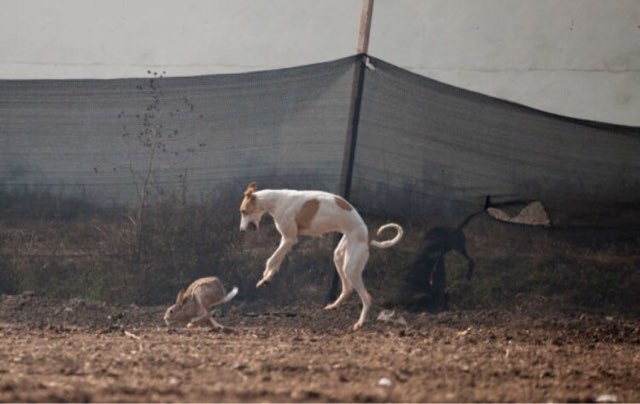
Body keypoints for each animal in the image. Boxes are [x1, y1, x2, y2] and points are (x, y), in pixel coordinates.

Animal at [238, 181, 402, 330]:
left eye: (243, 211)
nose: (241, 231)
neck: (277, 200)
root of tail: (367, 236)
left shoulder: (289, 239)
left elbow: (271, 260)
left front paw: (264, 278)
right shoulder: (286, 241)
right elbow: (276, 262)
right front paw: (267, 278)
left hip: (351, 267)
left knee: (367, 298)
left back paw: (360, 323)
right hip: (340, 256)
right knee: (347, 288)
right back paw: (334, 306)